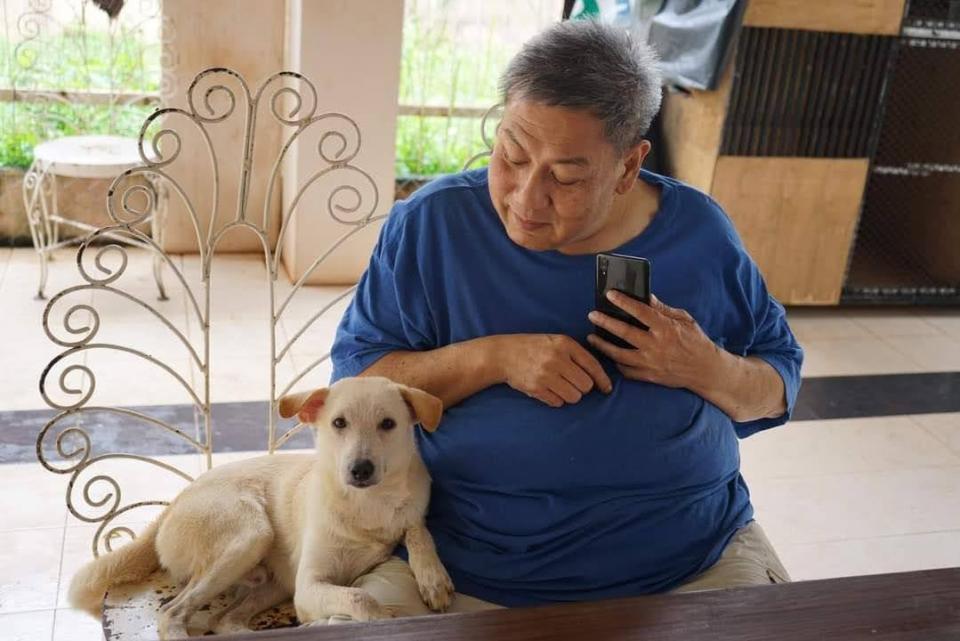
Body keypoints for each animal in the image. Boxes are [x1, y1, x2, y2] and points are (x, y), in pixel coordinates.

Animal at [71, 376, 454, 636]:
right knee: (173, 614)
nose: (360, 469)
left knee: (222, 619)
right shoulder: (308, 588)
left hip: (273, 581)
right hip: (250, 535)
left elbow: (416, 529)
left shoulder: (410, 514)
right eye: (339, 423)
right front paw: (385, 619)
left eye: (388, 424)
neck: (367, 503)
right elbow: (362, 598)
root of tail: (174, 503)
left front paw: (433, 578)